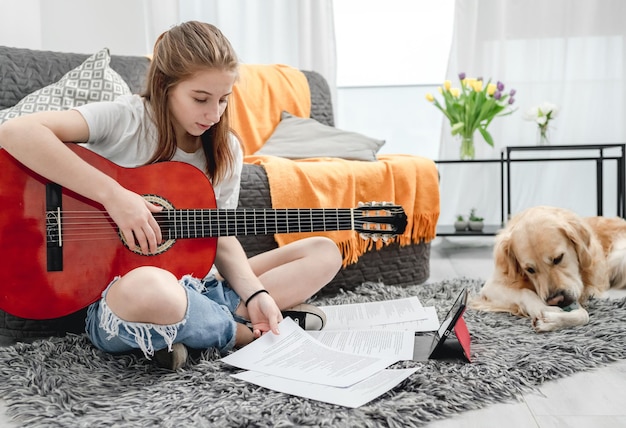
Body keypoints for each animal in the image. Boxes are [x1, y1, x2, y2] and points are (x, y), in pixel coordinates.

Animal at [470, 206, 624, 332]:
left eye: (558, 258)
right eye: (530, 270)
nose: (556, 300)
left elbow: (584, 315)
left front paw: (553, 320)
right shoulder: (491, 287)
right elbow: (524, 292)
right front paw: (543, 309)